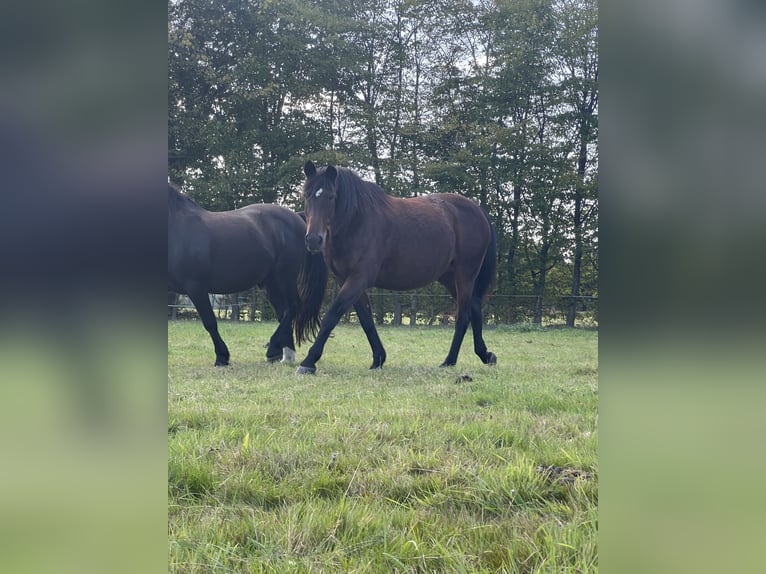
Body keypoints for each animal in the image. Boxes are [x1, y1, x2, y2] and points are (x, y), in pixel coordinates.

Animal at [168, 182, 327, 366]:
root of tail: (297, 217)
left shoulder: (196, 287)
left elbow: (210, 322)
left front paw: (222, 356)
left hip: (284, 277)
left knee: (293, 307)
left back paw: (274, 349)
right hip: (272, 283)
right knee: (284, 312)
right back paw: (285, 356)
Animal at [295, 161, 496, 374]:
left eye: (331, 196)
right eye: (306, 195)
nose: (314, 240)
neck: (357, 221)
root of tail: (478, 210)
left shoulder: (358, 279)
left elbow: (332, 315)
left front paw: (308, 361)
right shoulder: (347, 280)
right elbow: (366, 319)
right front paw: (378, 359)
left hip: (464, 275)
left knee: (463, 316)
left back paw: (449, 361)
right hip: (450, 277)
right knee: (475, 307)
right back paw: (485, 355)